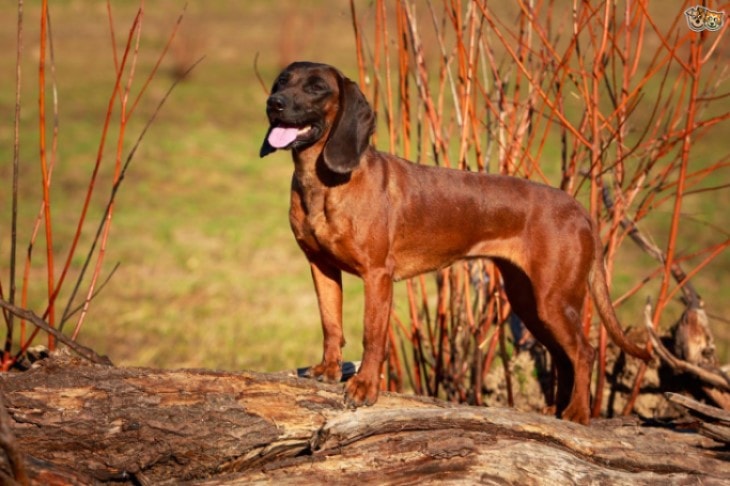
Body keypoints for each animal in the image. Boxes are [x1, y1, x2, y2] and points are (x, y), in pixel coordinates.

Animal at [258, 61, 648, 426]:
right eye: (281, 82)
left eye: (317, 87)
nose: (274, 103)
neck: (323, 183)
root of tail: (581, 210)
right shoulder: (321, 267)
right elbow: (331, 323)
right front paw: (328, 369)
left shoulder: (377, 276)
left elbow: (373, 336)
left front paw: (365, 387)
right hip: (530, 302)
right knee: (562, 355)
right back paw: (558, 409)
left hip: (555, 299)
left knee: (584, 351)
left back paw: (578, 413)